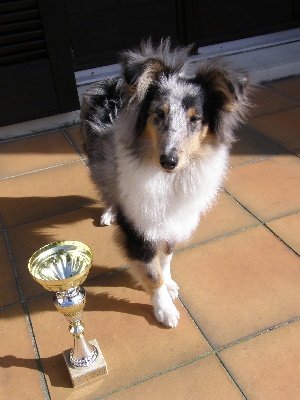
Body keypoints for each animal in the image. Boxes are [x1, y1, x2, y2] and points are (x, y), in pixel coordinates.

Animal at [81, 39, 252, 328]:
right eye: (158, 114)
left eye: (195, 119)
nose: (169, 161)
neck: (169, 180)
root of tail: (111, 87)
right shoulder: (139, 227)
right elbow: (151, 272)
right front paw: (165, 311)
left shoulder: (174, 217)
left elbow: (167, 256)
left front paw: (170, 285)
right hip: (99, 160)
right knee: (106, 184)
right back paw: (108, 213)